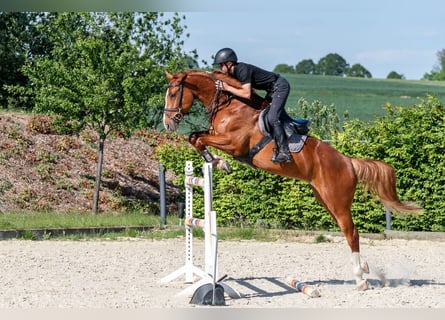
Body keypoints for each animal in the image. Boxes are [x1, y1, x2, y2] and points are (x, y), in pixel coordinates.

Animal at [161, 69, 422, 292]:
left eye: (173, 94)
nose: (168, 124)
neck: (231, 105)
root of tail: (348, 161)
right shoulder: (217, 136)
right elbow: (194, 137)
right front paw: (216, 161)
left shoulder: (233, 143)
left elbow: (197, 138)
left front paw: (220, 162)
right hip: (325, 200)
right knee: (349, 231)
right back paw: (365, 269)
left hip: (337, 201)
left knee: (352, 233)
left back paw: (360, 279)